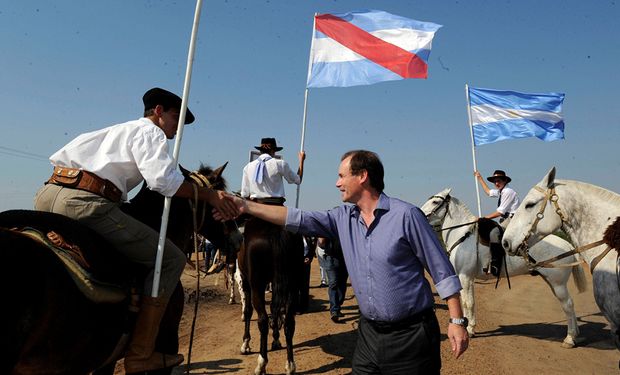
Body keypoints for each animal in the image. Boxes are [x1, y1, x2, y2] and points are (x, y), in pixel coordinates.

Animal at [237, 217, 306, 375]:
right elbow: (275, 310)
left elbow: (248, 311)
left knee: (262, 321)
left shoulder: (246, 281)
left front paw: (245, 344)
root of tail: (274, 228)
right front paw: (276, 340)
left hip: (257, 285)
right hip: (292, 284)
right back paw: (290, 364)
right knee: (289, 323)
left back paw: (261, 363)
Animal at [422, 189, 588, 348]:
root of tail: (567, 245)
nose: (420, 213)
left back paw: (570, 338)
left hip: (558, 284)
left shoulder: (466, 277)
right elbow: (464, 302)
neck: (464, 236)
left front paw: (469, 330)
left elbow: (469, 302)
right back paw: (576, 334)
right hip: (552, 282)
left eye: (435, 202)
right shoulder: (463, 278)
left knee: (568, 305)